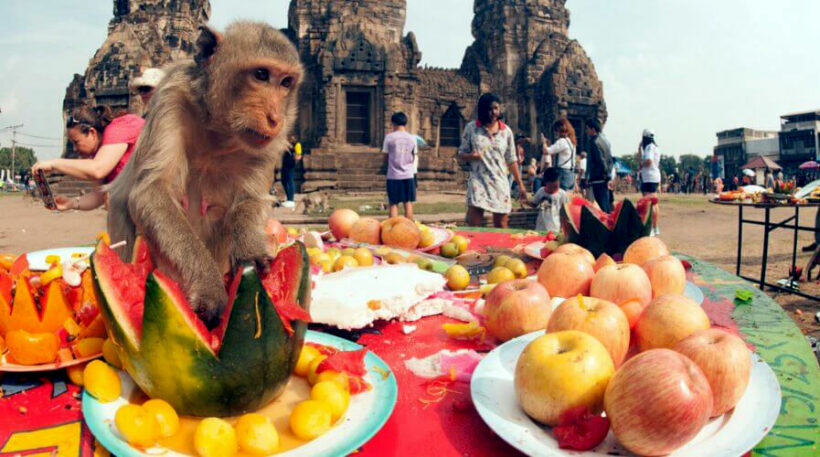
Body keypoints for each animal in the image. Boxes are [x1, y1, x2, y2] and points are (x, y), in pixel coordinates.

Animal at [107, 22, 302, 328]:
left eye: (286, 82)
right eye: (261, 74)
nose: (274, 117)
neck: (220, 130)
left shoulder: (275, 138)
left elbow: (250, 200)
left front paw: (250, 252)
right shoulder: (171, 98)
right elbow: (153, 191)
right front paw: (208, 286)